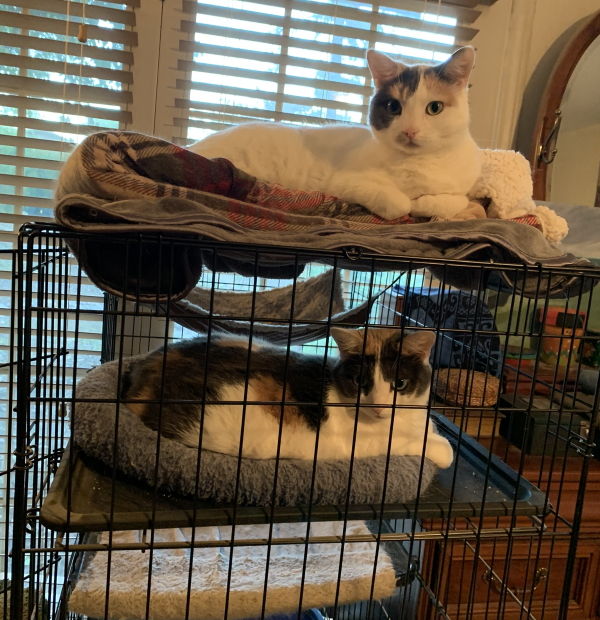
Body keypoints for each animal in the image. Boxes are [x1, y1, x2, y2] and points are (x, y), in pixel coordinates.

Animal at [121, 328, 454, 469]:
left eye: (399, 384)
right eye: (361, 382)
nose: (380, 407)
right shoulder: (359, 443)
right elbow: (415, 444)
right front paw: (443, 450)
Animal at [189, 46, 481, 222]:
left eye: (435, 108)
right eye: (394, 107)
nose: (410, 130)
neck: (416, 165)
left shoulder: (460, 188)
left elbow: (453, 201)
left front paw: (424, 203)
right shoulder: (344, 183)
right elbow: (398, 203)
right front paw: (409, 203)